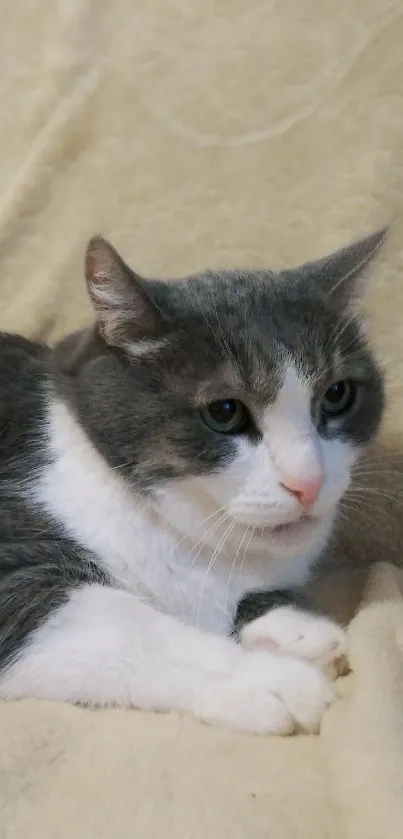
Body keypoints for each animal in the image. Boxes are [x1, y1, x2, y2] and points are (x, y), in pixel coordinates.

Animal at [0, 230, 386, 736]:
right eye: (224, 412)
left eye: (337, 394)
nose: (308, 482)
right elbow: (126, 626)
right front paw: (271, 679)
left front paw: (294, 628)